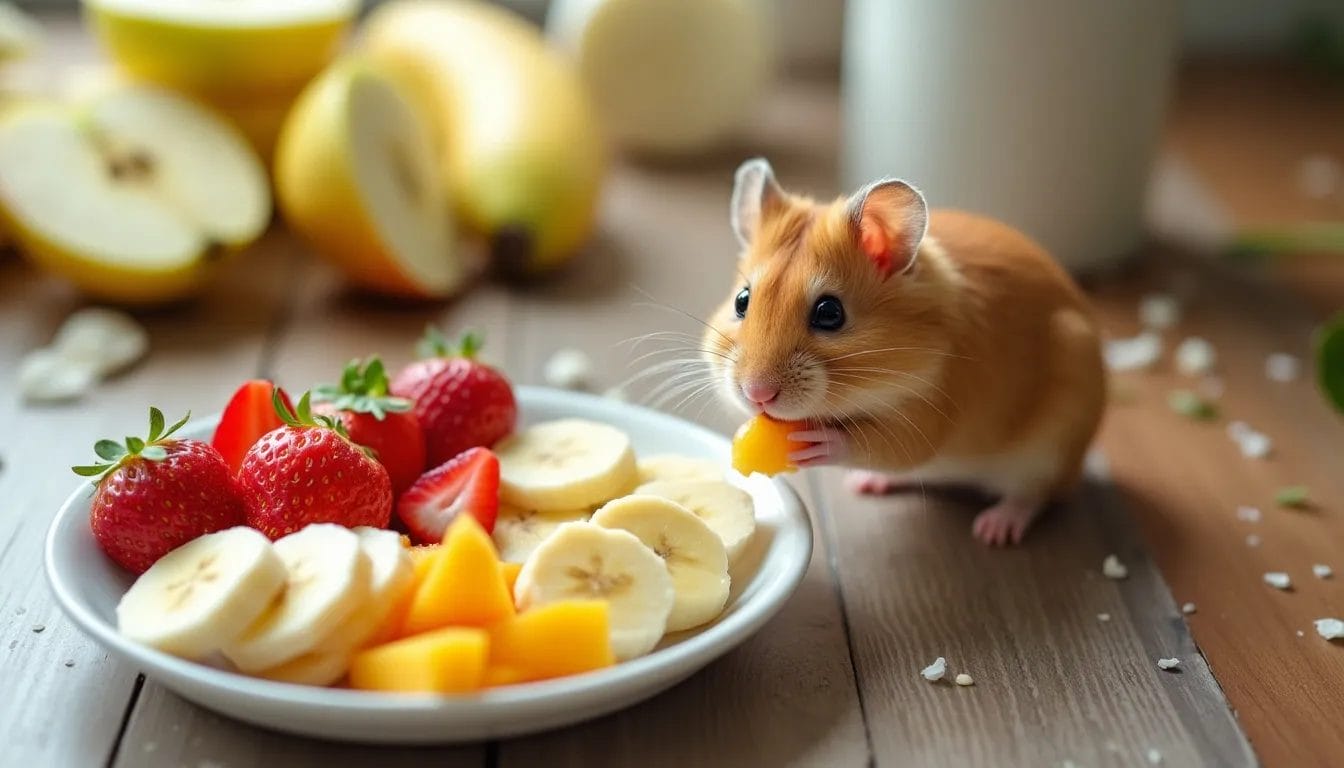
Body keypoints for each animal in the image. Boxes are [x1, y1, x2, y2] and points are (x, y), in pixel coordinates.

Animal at [704, 158, 1102, 546]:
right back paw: (866, 483)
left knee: (1035, 495)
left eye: (830, 313)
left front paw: (819, 441)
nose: (757, 395)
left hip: (1051, 449)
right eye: (742, 300)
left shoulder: (931, 413)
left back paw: (995, 529)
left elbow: (876, 444)